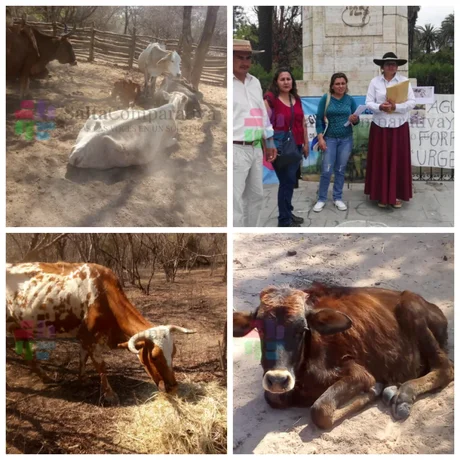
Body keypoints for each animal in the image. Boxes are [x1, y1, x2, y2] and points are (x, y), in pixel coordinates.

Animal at [234, 282, 452, 430]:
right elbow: (273, 397)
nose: (278, 380)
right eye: (260, 329)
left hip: (411, 310)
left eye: (301, 329)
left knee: (445, 368)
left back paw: (403, 395)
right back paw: (392, 390)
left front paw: (374, 389)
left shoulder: (358, 373)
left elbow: (320, 410)